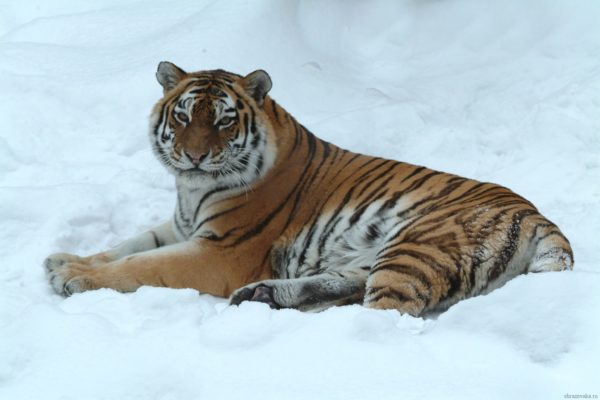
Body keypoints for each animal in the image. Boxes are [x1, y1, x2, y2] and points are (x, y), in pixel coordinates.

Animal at [43, 62, 572, 318]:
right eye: (183, 115)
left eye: (223, 120)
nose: (193, 157)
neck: (191, 190)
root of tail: (539, 217)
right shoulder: (181, 225)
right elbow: (128, 246)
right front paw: (65, 259)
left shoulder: (220, 251)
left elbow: (142, 265)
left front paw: (74, 278)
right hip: (382, 251)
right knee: (349, 285)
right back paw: (262, 296)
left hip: (418, 244)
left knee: (386, 313)